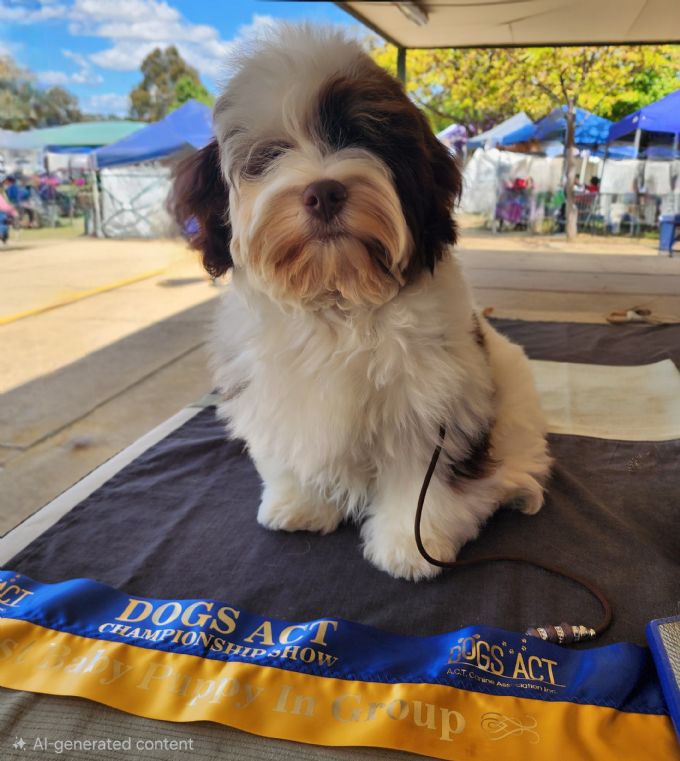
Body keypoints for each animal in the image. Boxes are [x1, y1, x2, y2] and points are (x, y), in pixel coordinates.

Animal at [170, 25, 551, 581]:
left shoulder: (433, 406)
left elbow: (421, 480)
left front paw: (411, 545)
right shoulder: (281, 395)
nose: (324, 191)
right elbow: (291, 447)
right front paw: (301, 505)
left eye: (364, 137)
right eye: (268, 155)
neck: (338, 296)